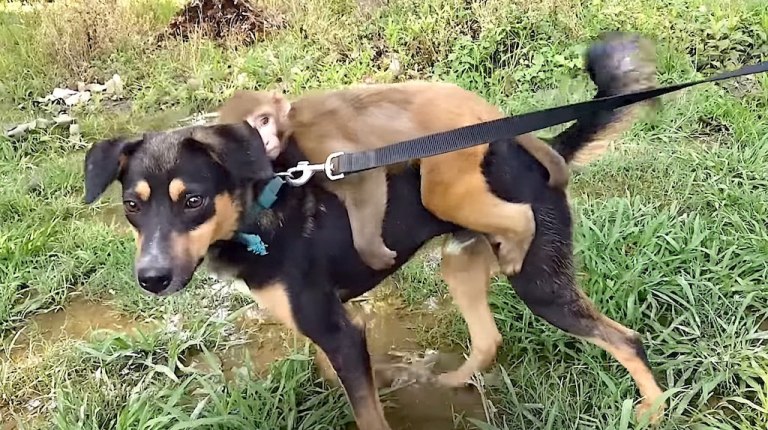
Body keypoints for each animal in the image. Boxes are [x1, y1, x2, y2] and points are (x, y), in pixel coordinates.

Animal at [216, 83, 568, 272]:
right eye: (247, 134)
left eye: (264, 121)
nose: (264, 143)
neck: (289, 132)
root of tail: (475, 101)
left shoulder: (314, 140)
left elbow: (364, 177)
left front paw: (372, 251)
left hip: (455, 134)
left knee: (440, 196)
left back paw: (520, 228)